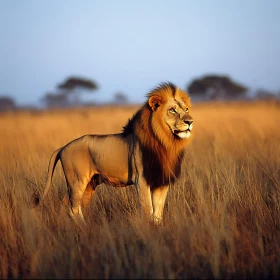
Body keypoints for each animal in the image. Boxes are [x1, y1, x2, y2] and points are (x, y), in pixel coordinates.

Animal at [40, 82, 194, 224]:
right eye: (172, 110)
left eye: (186, 109)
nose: (190, 121)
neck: (166, 142)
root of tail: (63, 147)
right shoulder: (141, 179)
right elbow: (148, 210)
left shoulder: (161, 180)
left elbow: (158, 212)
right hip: (77, 181)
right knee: (73, 209)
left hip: (89, 184)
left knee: (70, 206)